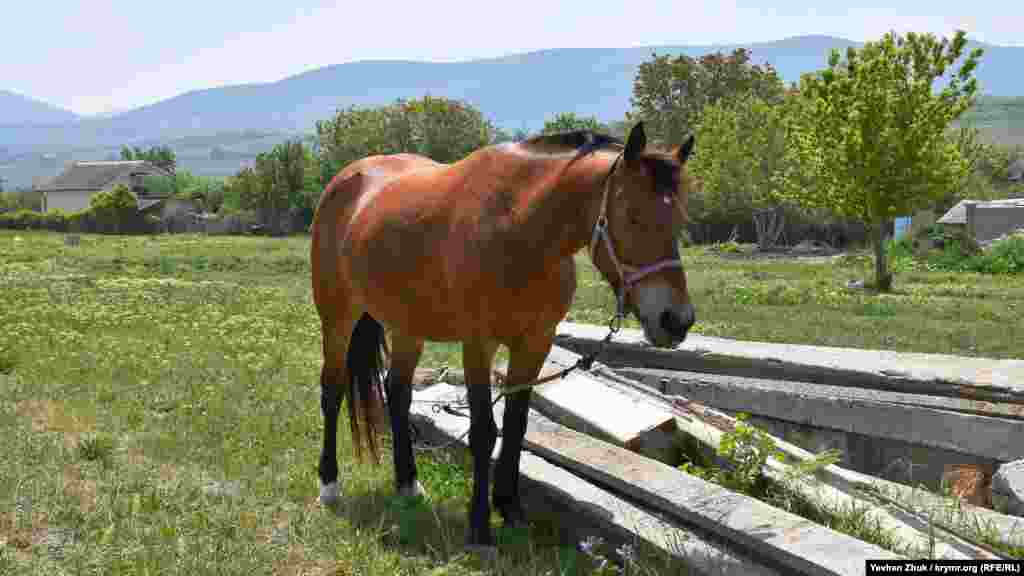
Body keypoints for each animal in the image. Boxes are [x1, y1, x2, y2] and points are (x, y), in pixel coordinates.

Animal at [309, 121, 696, 545]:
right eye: (632, 216)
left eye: (679, 220)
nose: (676, 321)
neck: (518, 228)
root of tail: (346, 180)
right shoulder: (479, 345)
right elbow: (484, 432)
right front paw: (479, 527)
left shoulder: (535, 343)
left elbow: (515, 427)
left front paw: (510, 510)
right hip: (337, 318)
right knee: (332, 391)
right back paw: (329, 485)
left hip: (407, 326)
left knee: (397, 395)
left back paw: (408, 484)